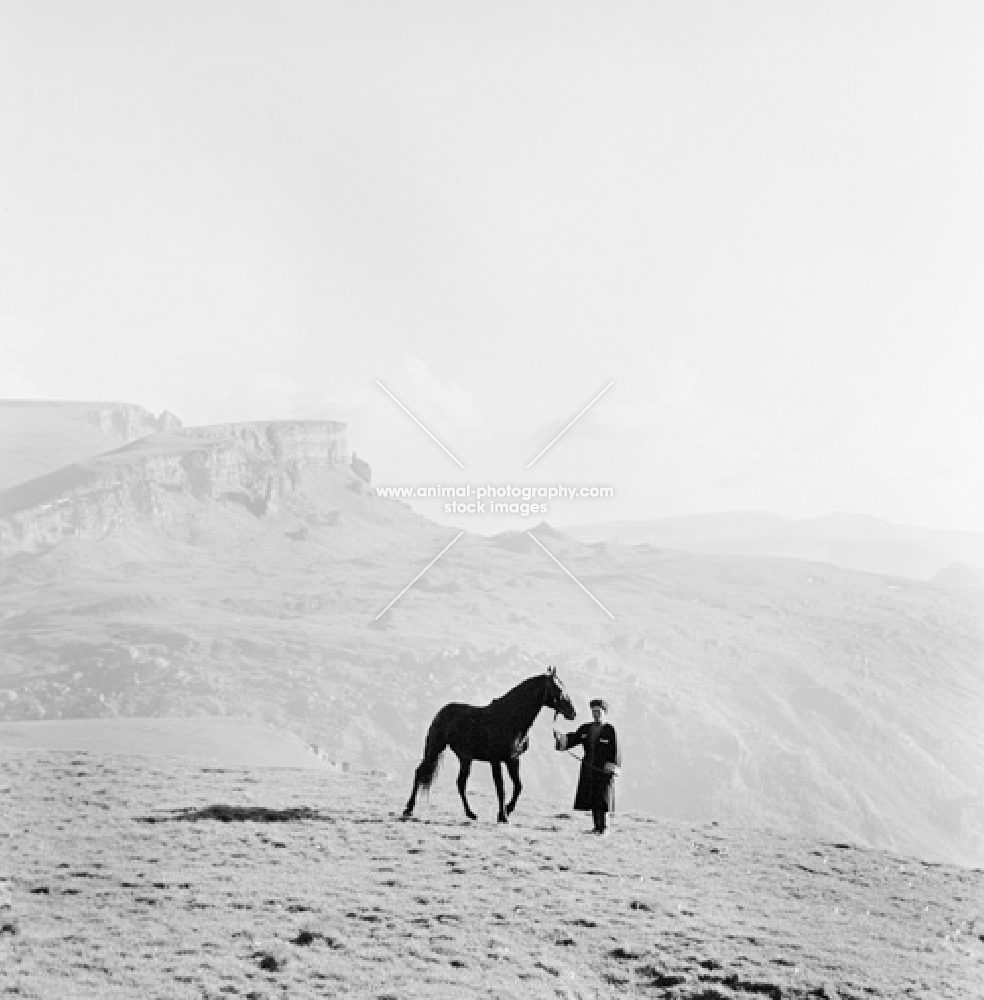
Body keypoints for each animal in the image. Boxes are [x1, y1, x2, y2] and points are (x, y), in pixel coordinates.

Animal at [404, 668, 580, 824]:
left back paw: (471, 813)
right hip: (434, 749)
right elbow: (501, 788)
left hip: (465, 758)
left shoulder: (513, 760)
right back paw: (409, 809)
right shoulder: (496, 761)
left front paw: (507, 810)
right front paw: (503, 816)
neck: (510, 719)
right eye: (558, 688)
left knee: (461, 783)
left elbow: (518, 786)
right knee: (420, 772)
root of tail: (441, 712)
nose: (572, 712)